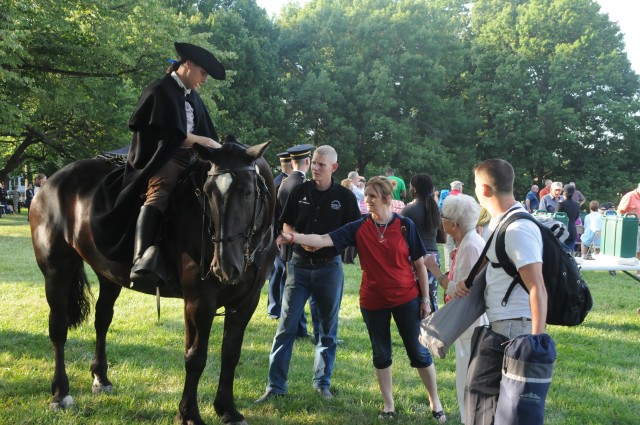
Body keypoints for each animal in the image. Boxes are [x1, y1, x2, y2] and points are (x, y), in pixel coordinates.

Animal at [30, 140, 276, 424]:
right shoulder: (199, 302)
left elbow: (231, 354)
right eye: (207, 193)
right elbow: (196, 357)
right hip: (57, 271)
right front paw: (189, 414)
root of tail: (51, 182)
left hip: (107, 274)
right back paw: (60, 393)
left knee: (102, 319)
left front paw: (227, 409)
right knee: (58, 328)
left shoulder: (245, 303)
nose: (225, 266)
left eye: (248, 192)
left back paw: (101, 377)